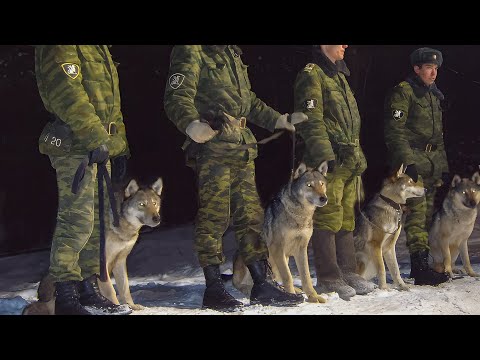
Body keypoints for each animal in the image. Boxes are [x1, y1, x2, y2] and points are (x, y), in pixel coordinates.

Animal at [23, 178, 163, 316]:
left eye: (155, 203)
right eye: (142, 204)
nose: (157, 218)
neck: (122, 229)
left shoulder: (120, 261)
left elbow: (125, 289)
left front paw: (132, 306)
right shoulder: (102, 265)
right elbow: (110, 291)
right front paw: (116, 307)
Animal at [232, 163, 330, 304]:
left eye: (321, 184)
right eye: (309, 185)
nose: (323, 198)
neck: (299, 215)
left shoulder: (301, 249)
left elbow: (306, 277)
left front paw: (313, 297)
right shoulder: (277, 248)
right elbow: (288, 276)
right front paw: (291, 295)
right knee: (246, 284)